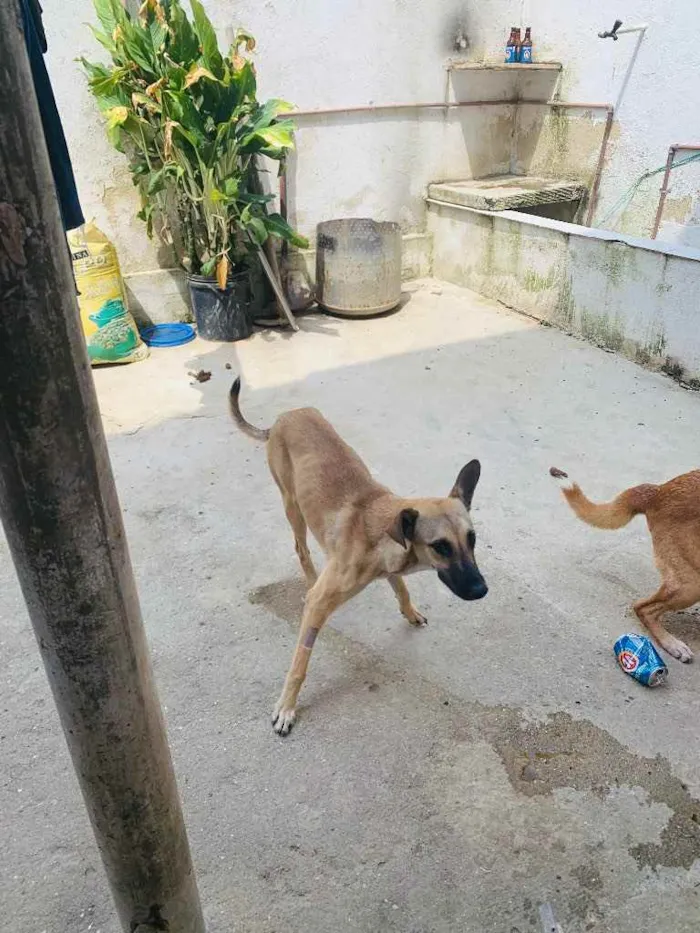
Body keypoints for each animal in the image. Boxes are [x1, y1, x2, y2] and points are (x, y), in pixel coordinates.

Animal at [230, 378, 486, 736]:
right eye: (441, 547)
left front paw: (410, 611)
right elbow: (299, 663)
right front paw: (286, 707)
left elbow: (401, 587)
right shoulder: (320, 604)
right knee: (301, 548)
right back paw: (311, 577)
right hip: (292, 505)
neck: (381, 537)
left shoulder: (391, 566)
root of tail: (282, 418)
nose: (481, 590)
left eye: (471, 539)